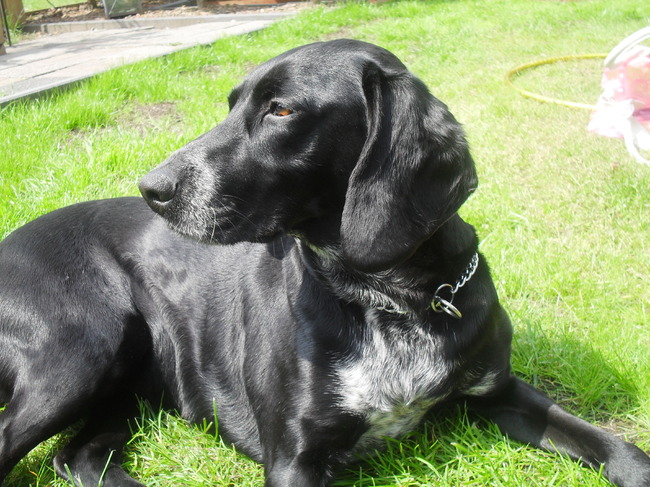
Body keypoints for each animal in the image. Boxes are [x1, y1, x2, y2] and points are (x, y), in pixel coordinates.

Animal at [0, 39, 649, 487]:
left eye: (281, 111)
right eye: (233, 104)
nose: (150, 189)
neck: (391, 299)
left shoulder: (501, 392)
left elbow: (619, 448)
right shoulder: (295, 458)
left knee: (77, 456)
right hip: (83, 349)